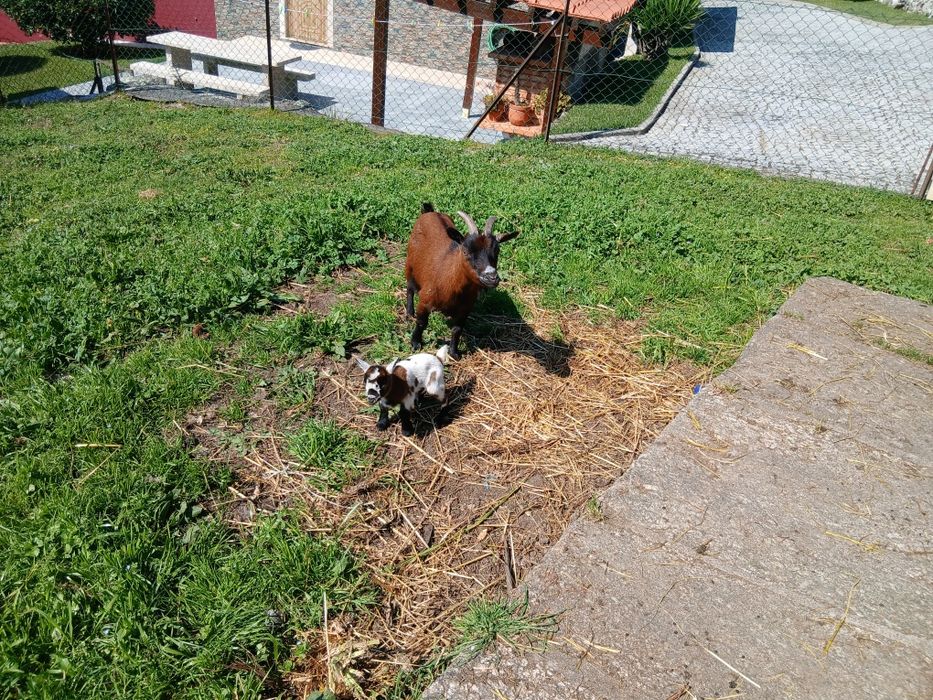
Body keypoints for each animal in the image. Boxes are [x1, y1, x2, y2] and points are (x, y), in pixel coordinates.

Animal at [405, 203, 519, 359]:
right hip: (409, 264)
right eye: (465, 251)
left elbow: (457, 329)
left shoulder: (465, 309)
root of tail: (430, 212)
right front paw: (415, 343)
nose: (491, 277)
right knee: (409, 287)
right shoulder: (425, 300)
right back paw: (409, 312)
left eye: (497, 251)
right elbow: (422, 323)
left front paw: (454, 352)